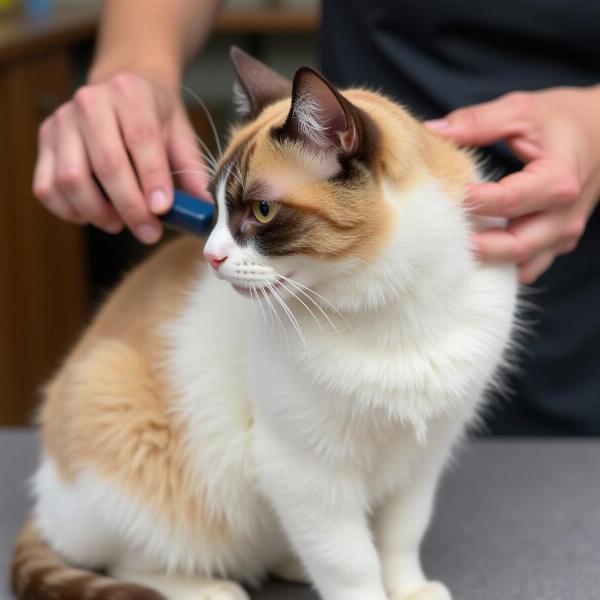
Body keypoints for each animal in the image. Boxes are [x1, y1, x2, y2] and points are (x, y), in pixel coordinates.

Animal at [9, 48, 516, 600]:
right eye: (212, 210)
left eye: (263, 210)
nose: (210, 256)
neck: (393, 312)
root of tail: (46, 499)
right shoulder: (305, 473)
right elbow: (350, 563)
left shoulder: (420, 461)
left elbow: (401, 537)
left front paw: (408, 589)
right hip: (119, 423)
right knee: (126, 560)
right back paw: (207, 587)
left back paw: (289, 563)